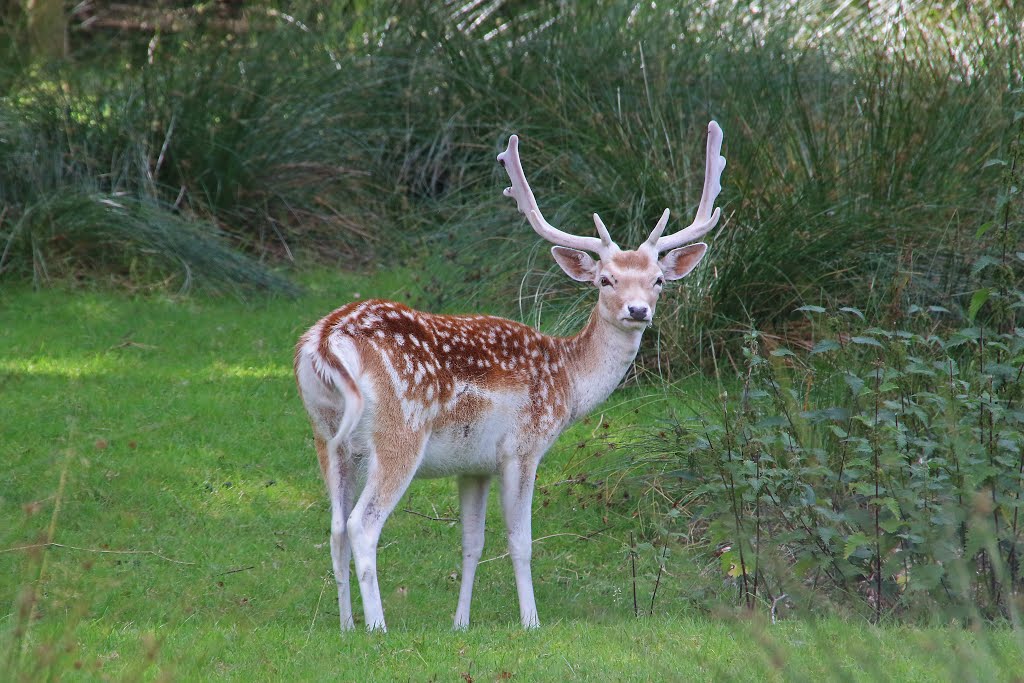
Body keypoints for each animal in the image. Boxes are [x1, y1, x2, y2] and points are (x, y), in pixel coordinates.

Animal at [294, 120, 729, 634]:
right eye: (605, 279)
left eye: (658, 280)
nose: (638, 310)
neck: (567, 380)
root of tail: (324, 341)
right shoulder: (523, 447)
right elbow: (520, 542)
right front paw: (531, 621)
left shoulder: (474, 464)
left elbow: (471, 542)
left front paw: (460, 623)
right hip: (399, 431)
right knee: (362, 524)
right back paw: (377, 627)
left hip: (327, 435)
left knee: (335, 526)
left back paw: (346, 625)